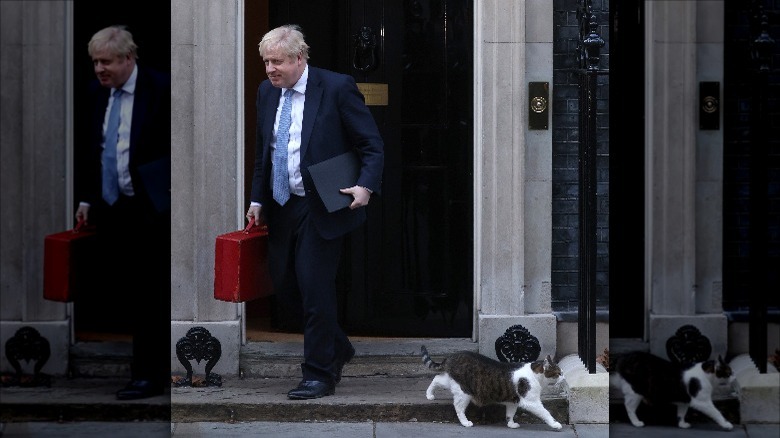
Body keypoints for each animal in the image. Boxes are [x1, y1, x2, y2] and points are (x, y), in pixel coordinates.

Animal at [420, 344, 560, 430]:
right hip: (464, 392)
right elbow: (545, 413)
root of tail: (451, 356)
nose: (563, 377)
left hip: (452, 382)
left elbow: (510, 414)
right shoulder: (531, 402)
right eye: (559, 373)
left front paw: (511, 424)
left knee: (437, 379)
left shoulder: (513, 401)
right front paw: (555, 424)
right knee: (459, 408)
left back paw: (429, 395)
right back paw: (465, 422)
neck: (535, 374)